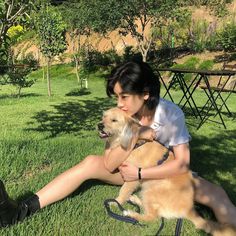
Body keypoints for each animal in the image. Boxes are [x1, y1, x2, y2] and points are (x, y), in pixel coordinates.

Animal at [97, 107, 236, 236]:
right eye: (104, 117)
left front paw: (116, 202)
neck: (133, 141)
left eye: (114, 120)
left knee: (153, 216)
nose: (99, 125)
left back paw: (129, 213)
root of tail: (189, 209)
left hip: (151, 189)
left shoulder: (132, 176)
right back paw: (134, 200)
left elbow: (123, 191)